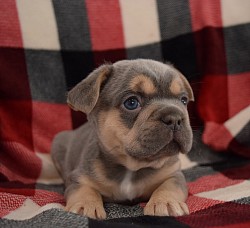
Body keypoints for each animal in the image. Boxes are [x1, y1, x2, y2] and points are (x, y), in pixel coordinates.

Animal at [51, 58, 194, 219]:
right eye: (131, 103)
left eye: (183, 100)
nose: (175, 118)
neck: (131, 167)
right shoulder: (79, 177)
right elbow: (83, 189)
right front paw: (85, 205)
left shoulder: (173, 174)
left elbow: (170, 186)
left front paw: (166, 202)